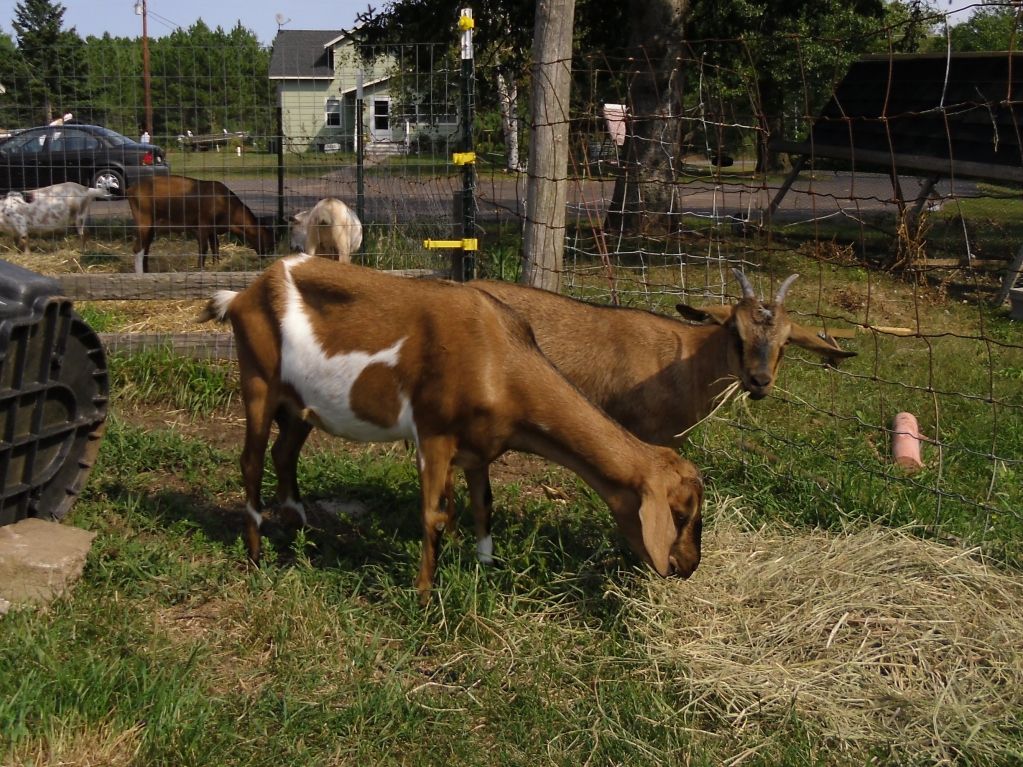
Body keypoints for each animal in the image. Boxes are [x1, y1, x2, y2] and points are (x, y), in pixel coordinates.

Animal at [126, 174, 276, 274]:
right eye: (269, 242)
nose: (267, 258)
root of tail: (132, 188)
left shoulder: (213, 230)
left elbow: (215, 247)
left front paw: (216, 265)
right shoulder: (202, 226)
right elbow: (203, 248)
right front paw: (201, 268)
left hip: (151, 227)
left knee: (145, 247)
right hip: (144, 221)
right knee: (137, 248)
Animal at [199, 256, 704, 603]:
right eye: (679, 515)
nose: (687, 566)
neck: (498, 360)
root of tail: (243, 295)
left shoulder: (480, 448)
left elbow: (484, 506)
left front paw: (485, 565)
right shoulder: (434, 435)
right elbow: (434, 516)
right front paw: (424, 593)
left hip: (300, 404)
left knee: (284, 453)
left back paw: (301, 530)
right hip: (258, 381)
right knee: (251, 461)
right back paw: (256, 554)